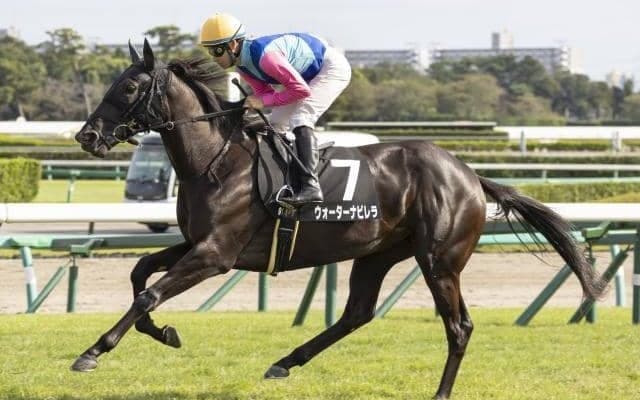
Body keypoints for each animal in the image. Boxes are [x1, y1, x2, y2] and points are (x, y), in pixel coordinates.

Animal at [72, 39, 605, 399]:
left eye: (130, 87)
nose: (86, 137)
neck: (217, 160)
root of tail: (470, 174)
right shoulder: (198, 244)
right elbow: (140, 272)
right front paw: (163, 332)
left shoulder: (216, 254)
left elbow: (149, 292)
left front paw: (93, 351)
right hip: (377, 254)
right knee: (357, 313)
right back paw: (285, 362)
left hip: (439, 260)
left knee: (458, 327)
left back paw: (440, 391)